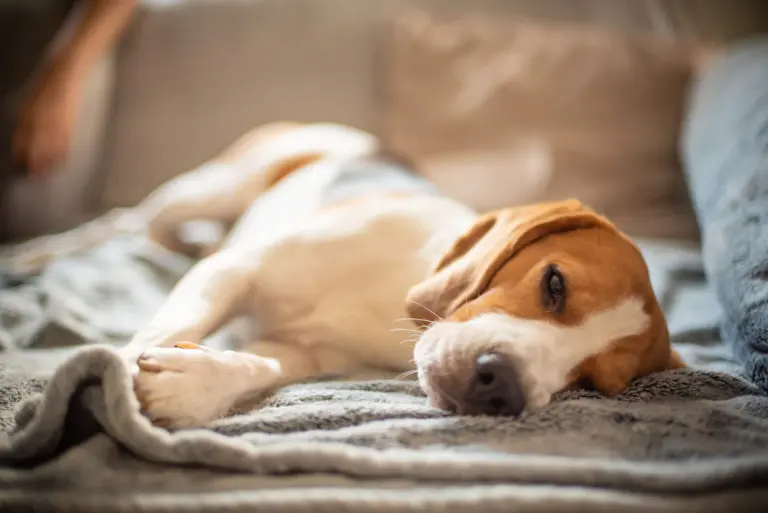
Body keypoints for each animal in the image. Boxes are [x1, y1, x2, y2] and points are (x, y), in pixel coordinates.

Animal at [1, 121, 684, 428]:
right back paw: (29, 256)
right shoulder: (236, 270)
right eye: (554, 284)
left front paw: (196, 383)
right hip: (209, 187)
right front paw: (114, 375)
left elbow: (263, 365)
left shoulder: (305, 352)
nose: (505, 390)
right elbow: (165, 328)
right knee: (119, 224)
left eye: (591, 383)